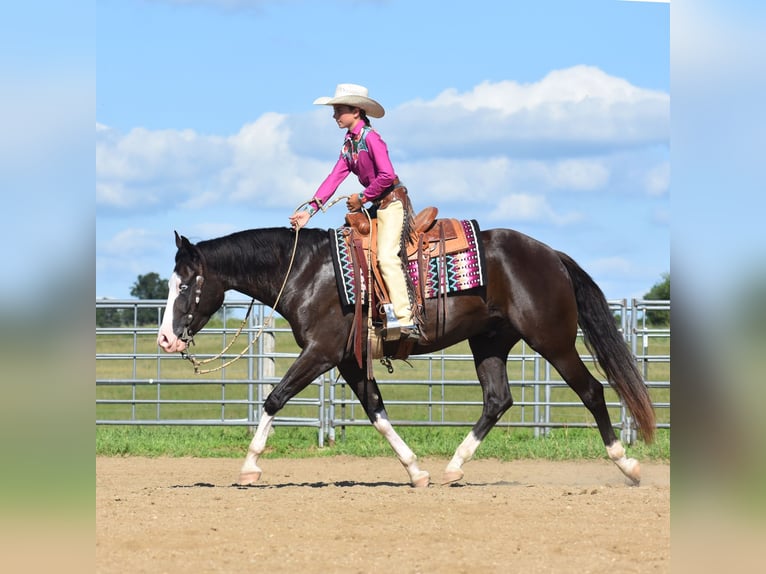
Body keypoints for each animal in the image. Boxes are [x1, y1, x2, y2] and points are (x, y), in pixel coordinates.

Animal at [157, 225, 655, 487]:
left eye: (186, 284)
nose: (165, 340)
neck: (305, 272)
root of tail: (549, 253)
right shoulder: (349, 360)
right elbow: (376, 411)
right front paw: (416, 470)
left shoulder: (322, 353)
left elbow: (275, 398)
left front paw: (249, 466)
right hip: (490, 343)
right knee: (497, 400)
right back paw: (453, 467)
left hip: (553, 341)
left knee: (592, 391)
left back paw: (627, 465)